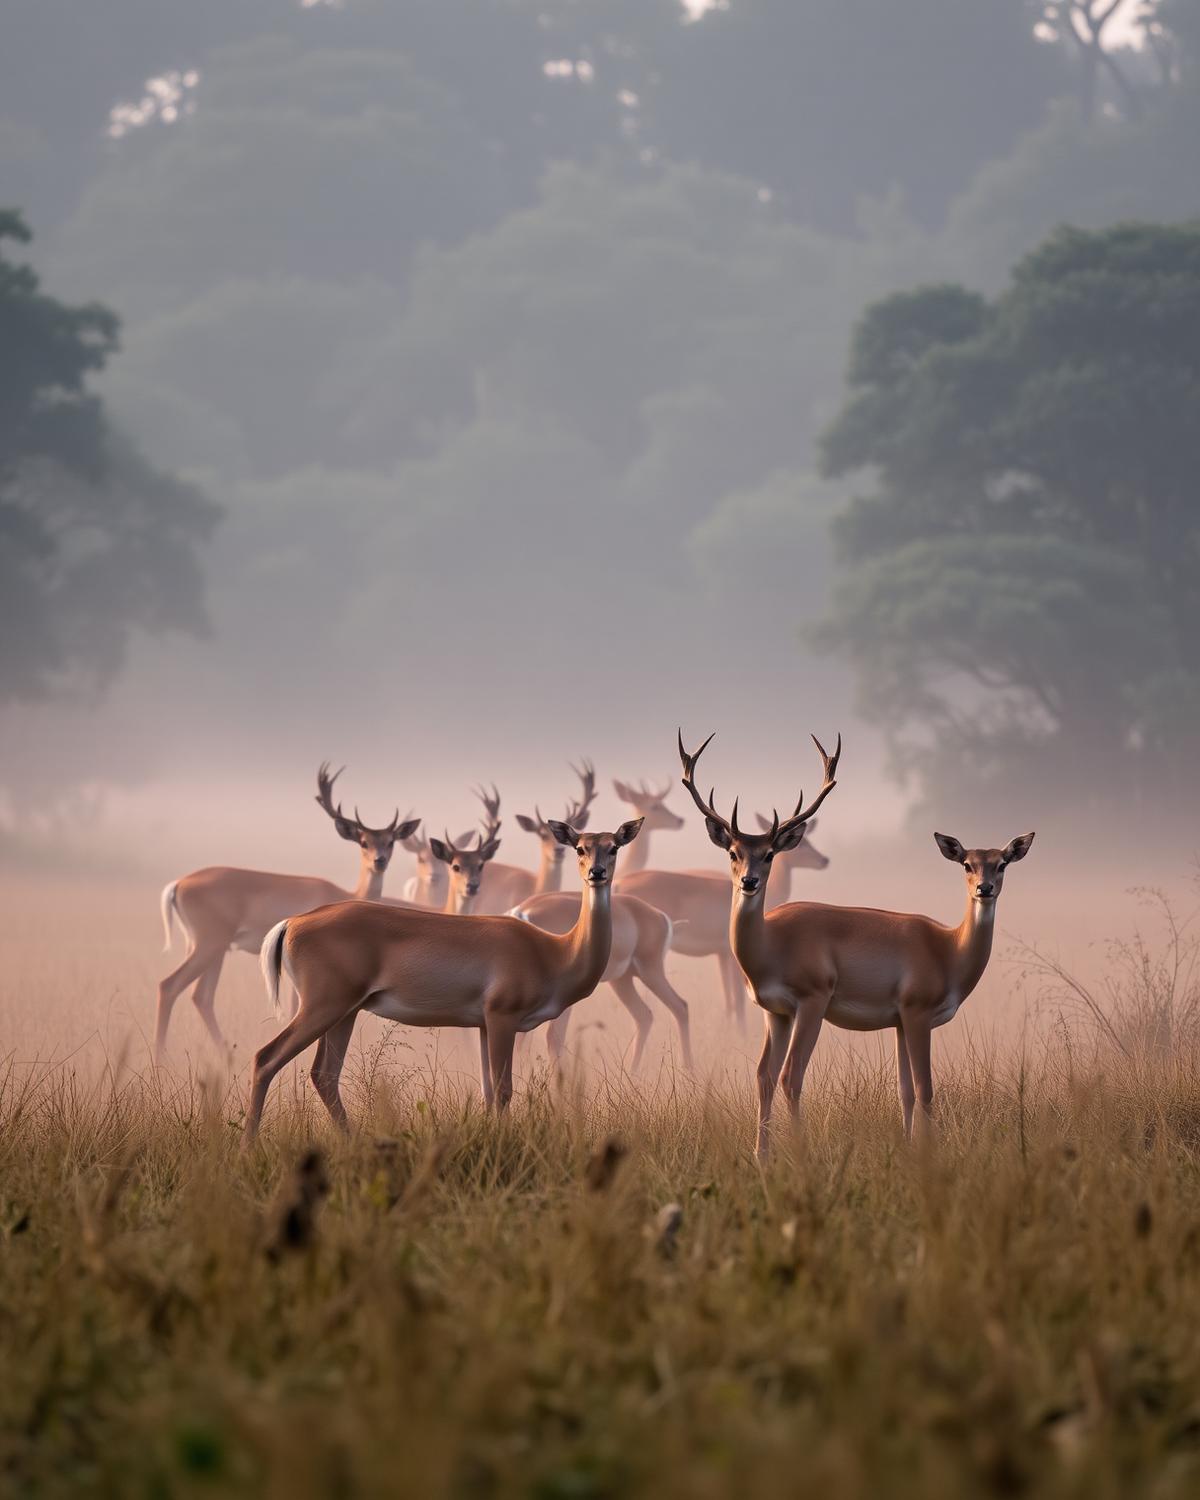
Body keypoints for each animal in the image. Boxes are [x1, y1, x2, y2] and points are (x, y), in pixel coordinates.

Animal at [156, 764, 419, 1064]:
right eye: (363, 841)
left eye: (391, 841)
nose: (379, 860)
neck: (348, 893)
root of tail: (179, 883)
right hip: (209, 945)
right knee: (170, 986)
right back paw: (161, 1057)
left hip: (211, 949)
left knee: (201, 996)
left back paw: (225, 1054)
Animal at [248, 816, 644, 1139]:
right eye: (580, 847)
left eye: (613, 846)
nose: (597, 873)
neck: (555, 952)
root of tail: (293, 922)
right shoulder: (502, 1017)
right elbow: (503, 1090)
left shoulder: (483, 1024)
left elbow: (489, 1091)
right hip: (323, 1006)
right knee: (266, 1058)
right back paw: (248, 1145)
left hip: (345, 1012)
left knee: (324, 1075)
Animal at [510, 889, 693, 1073]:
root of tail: (659, 916)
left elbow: (553, 1038)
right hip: (622, 980)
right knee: (645, 1015)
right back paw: (632, 1072)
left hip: (650, 971)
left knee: (680, 1006)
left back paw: (687, 1068)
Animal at [614, 818, 830, 1029]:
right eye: (803, 844)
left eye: (769, 854)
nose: (824, 860)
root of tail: (619, 884)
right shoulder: (731, 955)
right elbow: (738, 997)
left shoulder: (721, 954)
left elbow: (728, 996)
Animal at [677, 730, 1034, 1156]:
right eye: (733, 852)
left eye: (769, 854)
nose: (749, 881)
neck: (950, 950)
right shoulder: (882, 1008)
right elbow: (922, 1088)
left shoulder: (882, 1018)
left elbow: (906, 1090)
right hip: (810, 1009)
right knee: (788, 1076)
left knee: (768, 1076)